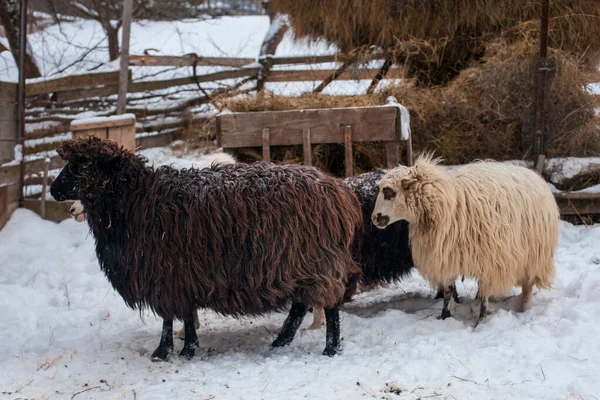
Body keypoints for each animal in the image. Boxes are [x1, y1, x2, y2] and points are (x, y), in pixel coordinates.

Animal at [372, 153, 560, 324]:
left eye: (389, 192)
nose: (374, 218)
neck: (448, 204)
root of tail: (533, 174)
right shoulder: (448, 257)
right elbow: (448, 290)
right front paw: (444, 315)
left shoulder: (489, 259)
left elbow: (485, 290)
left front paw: (482, 318)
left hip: (534, 253)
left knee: (528, 285)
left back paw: (524, 308)